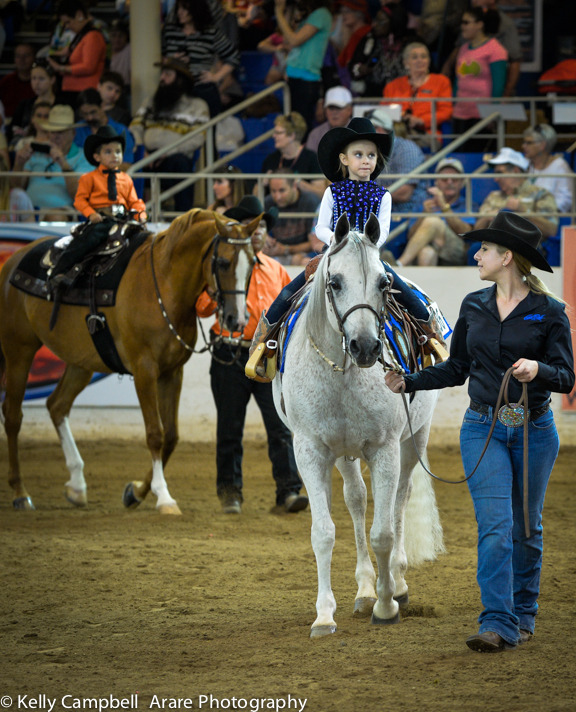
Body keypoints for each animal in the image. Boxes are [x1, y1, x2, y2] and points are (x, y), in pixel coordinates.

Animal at [0, 209, 260, 513]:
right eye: (223, 261)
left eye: (252, 263)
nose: (237, 320)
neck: (163, 286)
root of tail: (13, 262)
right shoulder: (144, 370)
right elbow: (155, 433)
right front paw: (164, 497)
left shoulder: (172, 372)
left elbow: (171, 435)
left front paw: (135, 492)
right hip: (19, 349)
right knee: (13, 415)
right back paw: (20, 492)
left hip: (80, 362)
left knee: (57, 405)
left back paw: (77, 485)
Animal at [273, 213, 444, 637]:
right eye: (335, 282)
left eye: (383, 282)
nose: (365, 347)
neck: (343, 371)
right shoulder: (311, 450)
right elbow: (323, 533)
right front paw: (324, 615)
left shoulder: (384, 448)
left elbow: (382, 533)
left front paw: (386, 605)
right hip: (344, 454)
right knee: (356, 499)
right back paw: (366, 588)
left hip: (413, 440)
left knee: (399, 499)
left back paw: (395, 583)